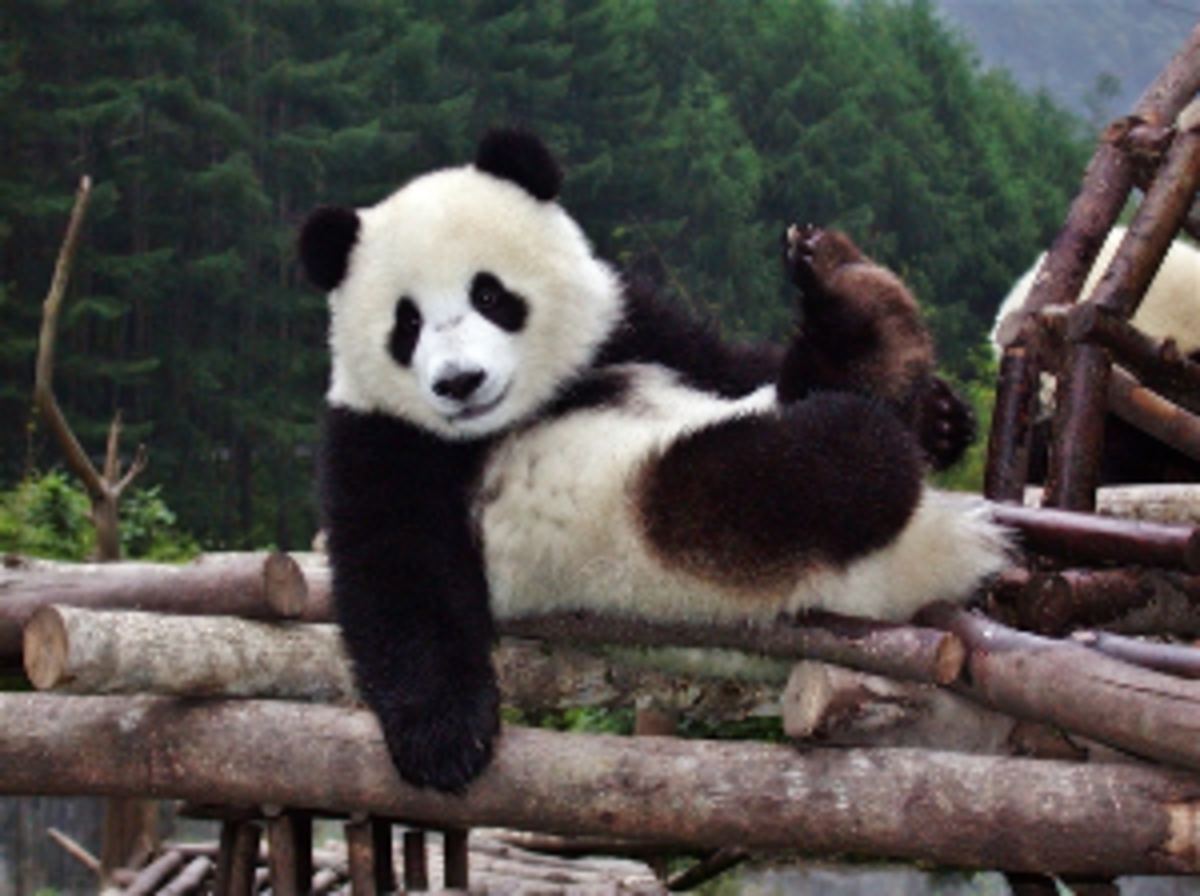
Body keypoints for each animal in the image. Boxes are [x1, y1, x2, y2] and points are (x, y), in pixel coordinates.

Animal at [298, 128, 1009, 794]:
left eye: (490, 295)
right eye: (408, 324)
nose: (458, 381)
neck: (517, 414)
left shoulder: (634, 327)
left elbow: (728, 362)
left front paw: (946, 419)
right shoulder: (382, 436)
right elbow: (397, 572)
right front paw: (444, 742)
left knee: (806, 394)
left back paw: (847, 288)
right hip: (685, 531)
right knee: (800, 470)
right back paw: (866, 373)